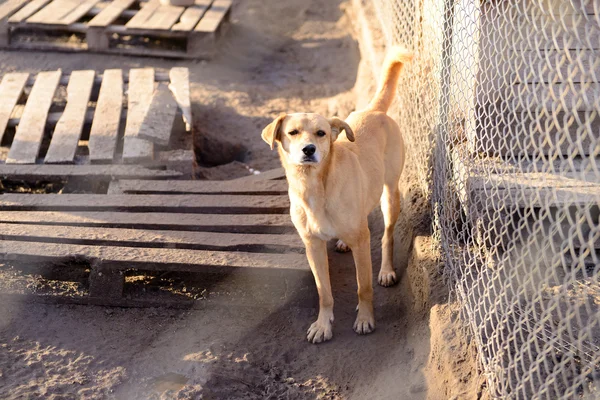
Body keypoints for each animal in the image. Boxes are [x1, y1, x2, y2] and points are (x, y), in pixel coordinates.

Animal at [260, 46, 414, 340]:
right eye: (292, 132)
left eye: (321, 133)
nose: (308, 149)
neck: (315, 187)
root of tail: (373, 110)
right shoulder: (313, 245)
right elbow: (324, 292)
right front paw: (322, 325)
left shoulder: (362, 243)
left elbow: (363, 286)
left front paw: (365, 319)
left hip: (391, 195)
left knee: (387, 236)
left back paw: (386, 270)